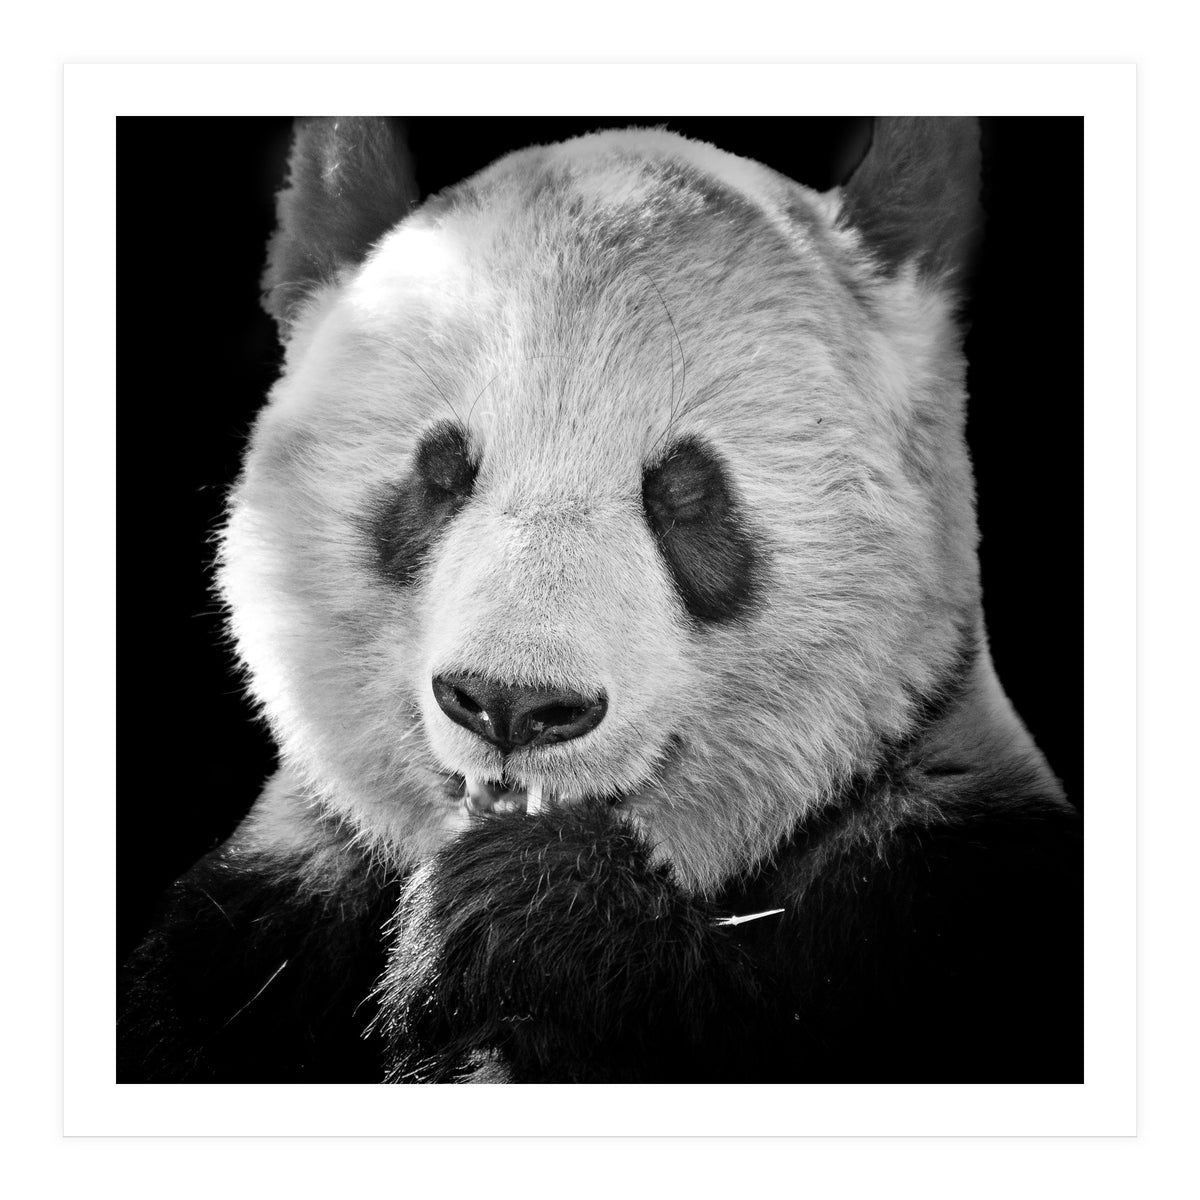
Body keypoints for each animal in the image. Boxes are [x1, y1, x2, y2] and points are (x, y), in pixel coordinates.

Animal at [118, 116, 1082, 1084]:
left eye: (685, 494)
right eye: (441, 473)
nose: (512, 704)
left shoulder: (945, 888)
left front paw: (530, 916)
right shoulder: (258, 922)